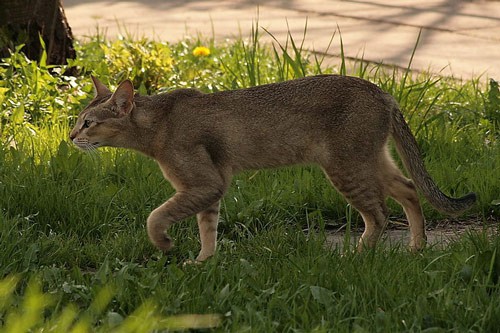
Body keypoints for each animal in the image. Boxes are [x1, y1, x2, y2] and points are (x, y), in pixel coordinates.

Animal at [70, 75, 476, 260]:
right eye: (77, 121)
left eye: (88, 123)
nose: (71, 136)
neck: (158, 123)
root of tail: (383, 92)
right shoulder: (211, 187)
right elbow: (207, 228)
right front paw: (203, 261)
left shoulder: (203, 183)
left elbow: (155, 216)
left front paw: (165, 244)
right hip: (370, 159)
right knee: (408, 187)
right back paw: (417, 246)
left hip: (345, 166)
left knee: (379, 213)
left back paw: (357, 255)